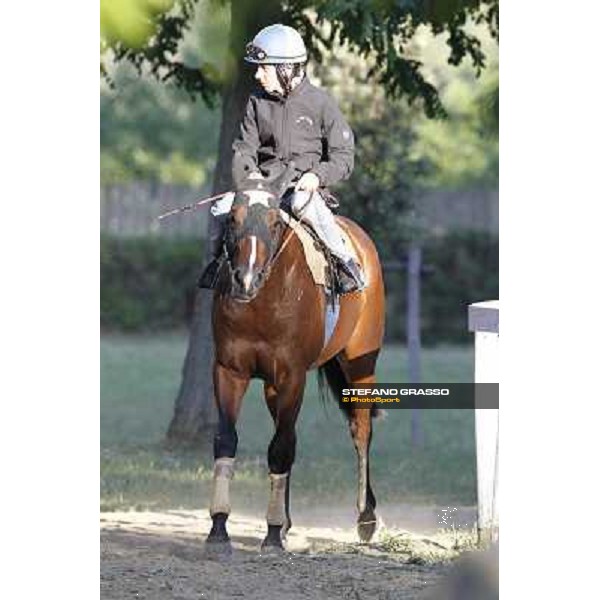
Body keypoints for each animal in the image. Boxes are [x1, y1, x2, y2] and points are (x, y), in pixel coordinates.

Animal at [205, 179, 384, 552]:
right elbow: (228, 440)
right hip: (274, 387)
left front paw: (272, 534)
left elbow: (280, 449)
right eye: (232, 220)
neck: (264, 300)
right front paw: (219, 527)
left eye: (275, 223)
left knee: (361, 431)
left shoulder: (293, 377)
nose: (246, 279)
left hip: (361, 366)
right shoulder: (230, 371)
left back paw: (366, 518)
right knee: (289, 436)